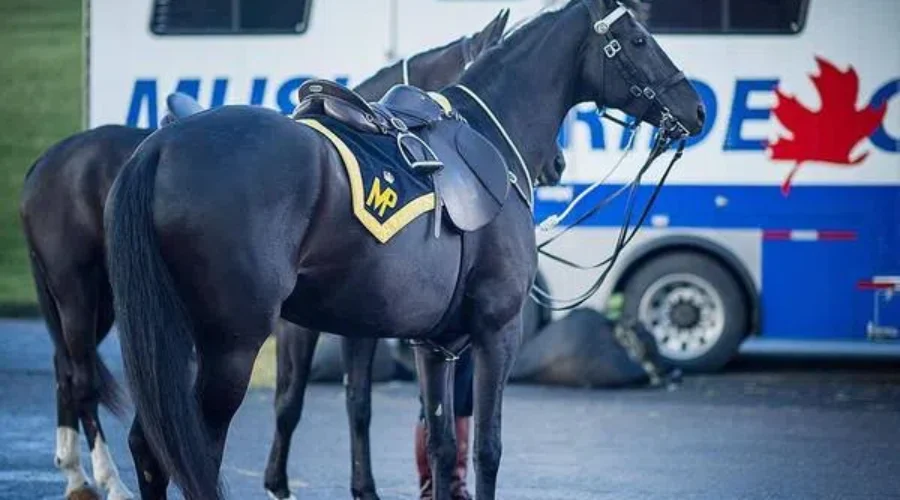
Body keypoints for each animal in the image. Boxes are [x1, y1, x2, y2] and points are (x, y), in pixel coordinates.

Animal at [18, 11, 510, 500]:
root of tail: (45, 162)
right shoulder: (319, 325)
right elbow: (312, 401)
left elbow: (342, 401)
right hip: (81, 294)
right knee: (84, 381)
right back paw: (108, 479)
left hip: (101, 302)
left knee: (68, 371)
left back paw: (76, 472)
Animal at [103, 1, 705, 499]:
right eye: (638, 40)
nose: (696, 110)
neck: (488, 138)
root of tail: (160, 145)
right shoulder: (497, 331)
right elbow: (487, 447)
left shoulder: (432, 345)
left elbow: (439, 444)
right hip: (231, 345)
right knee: (196, 452)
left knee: (150, 448)